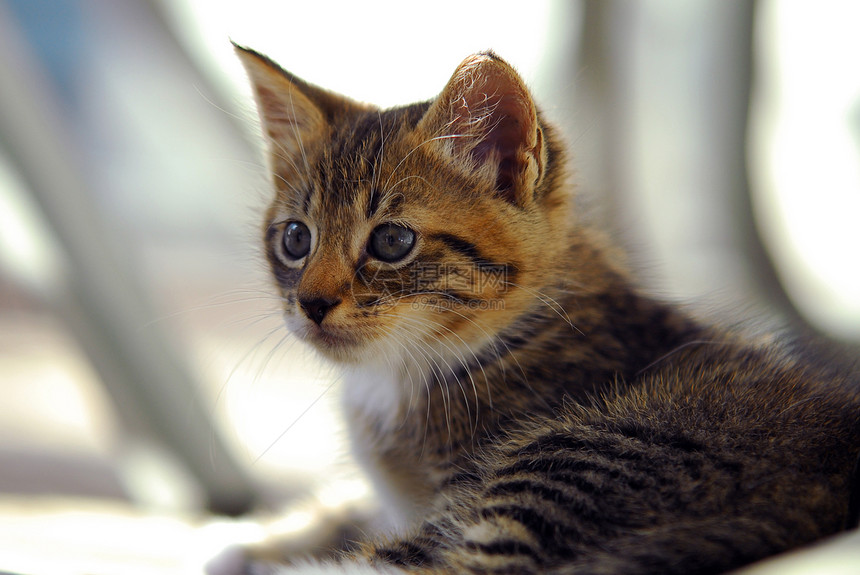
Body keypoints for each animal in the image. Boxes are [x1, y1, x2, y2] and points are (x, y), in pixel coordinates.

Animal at [230, 45, 860, 575]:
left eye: (391, 242)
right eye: (295, 239)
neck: (401, 374)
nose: (311, 303)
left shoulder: (458, 498)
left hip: (588, 448)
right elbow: (344, 507)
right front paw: (250, 542)